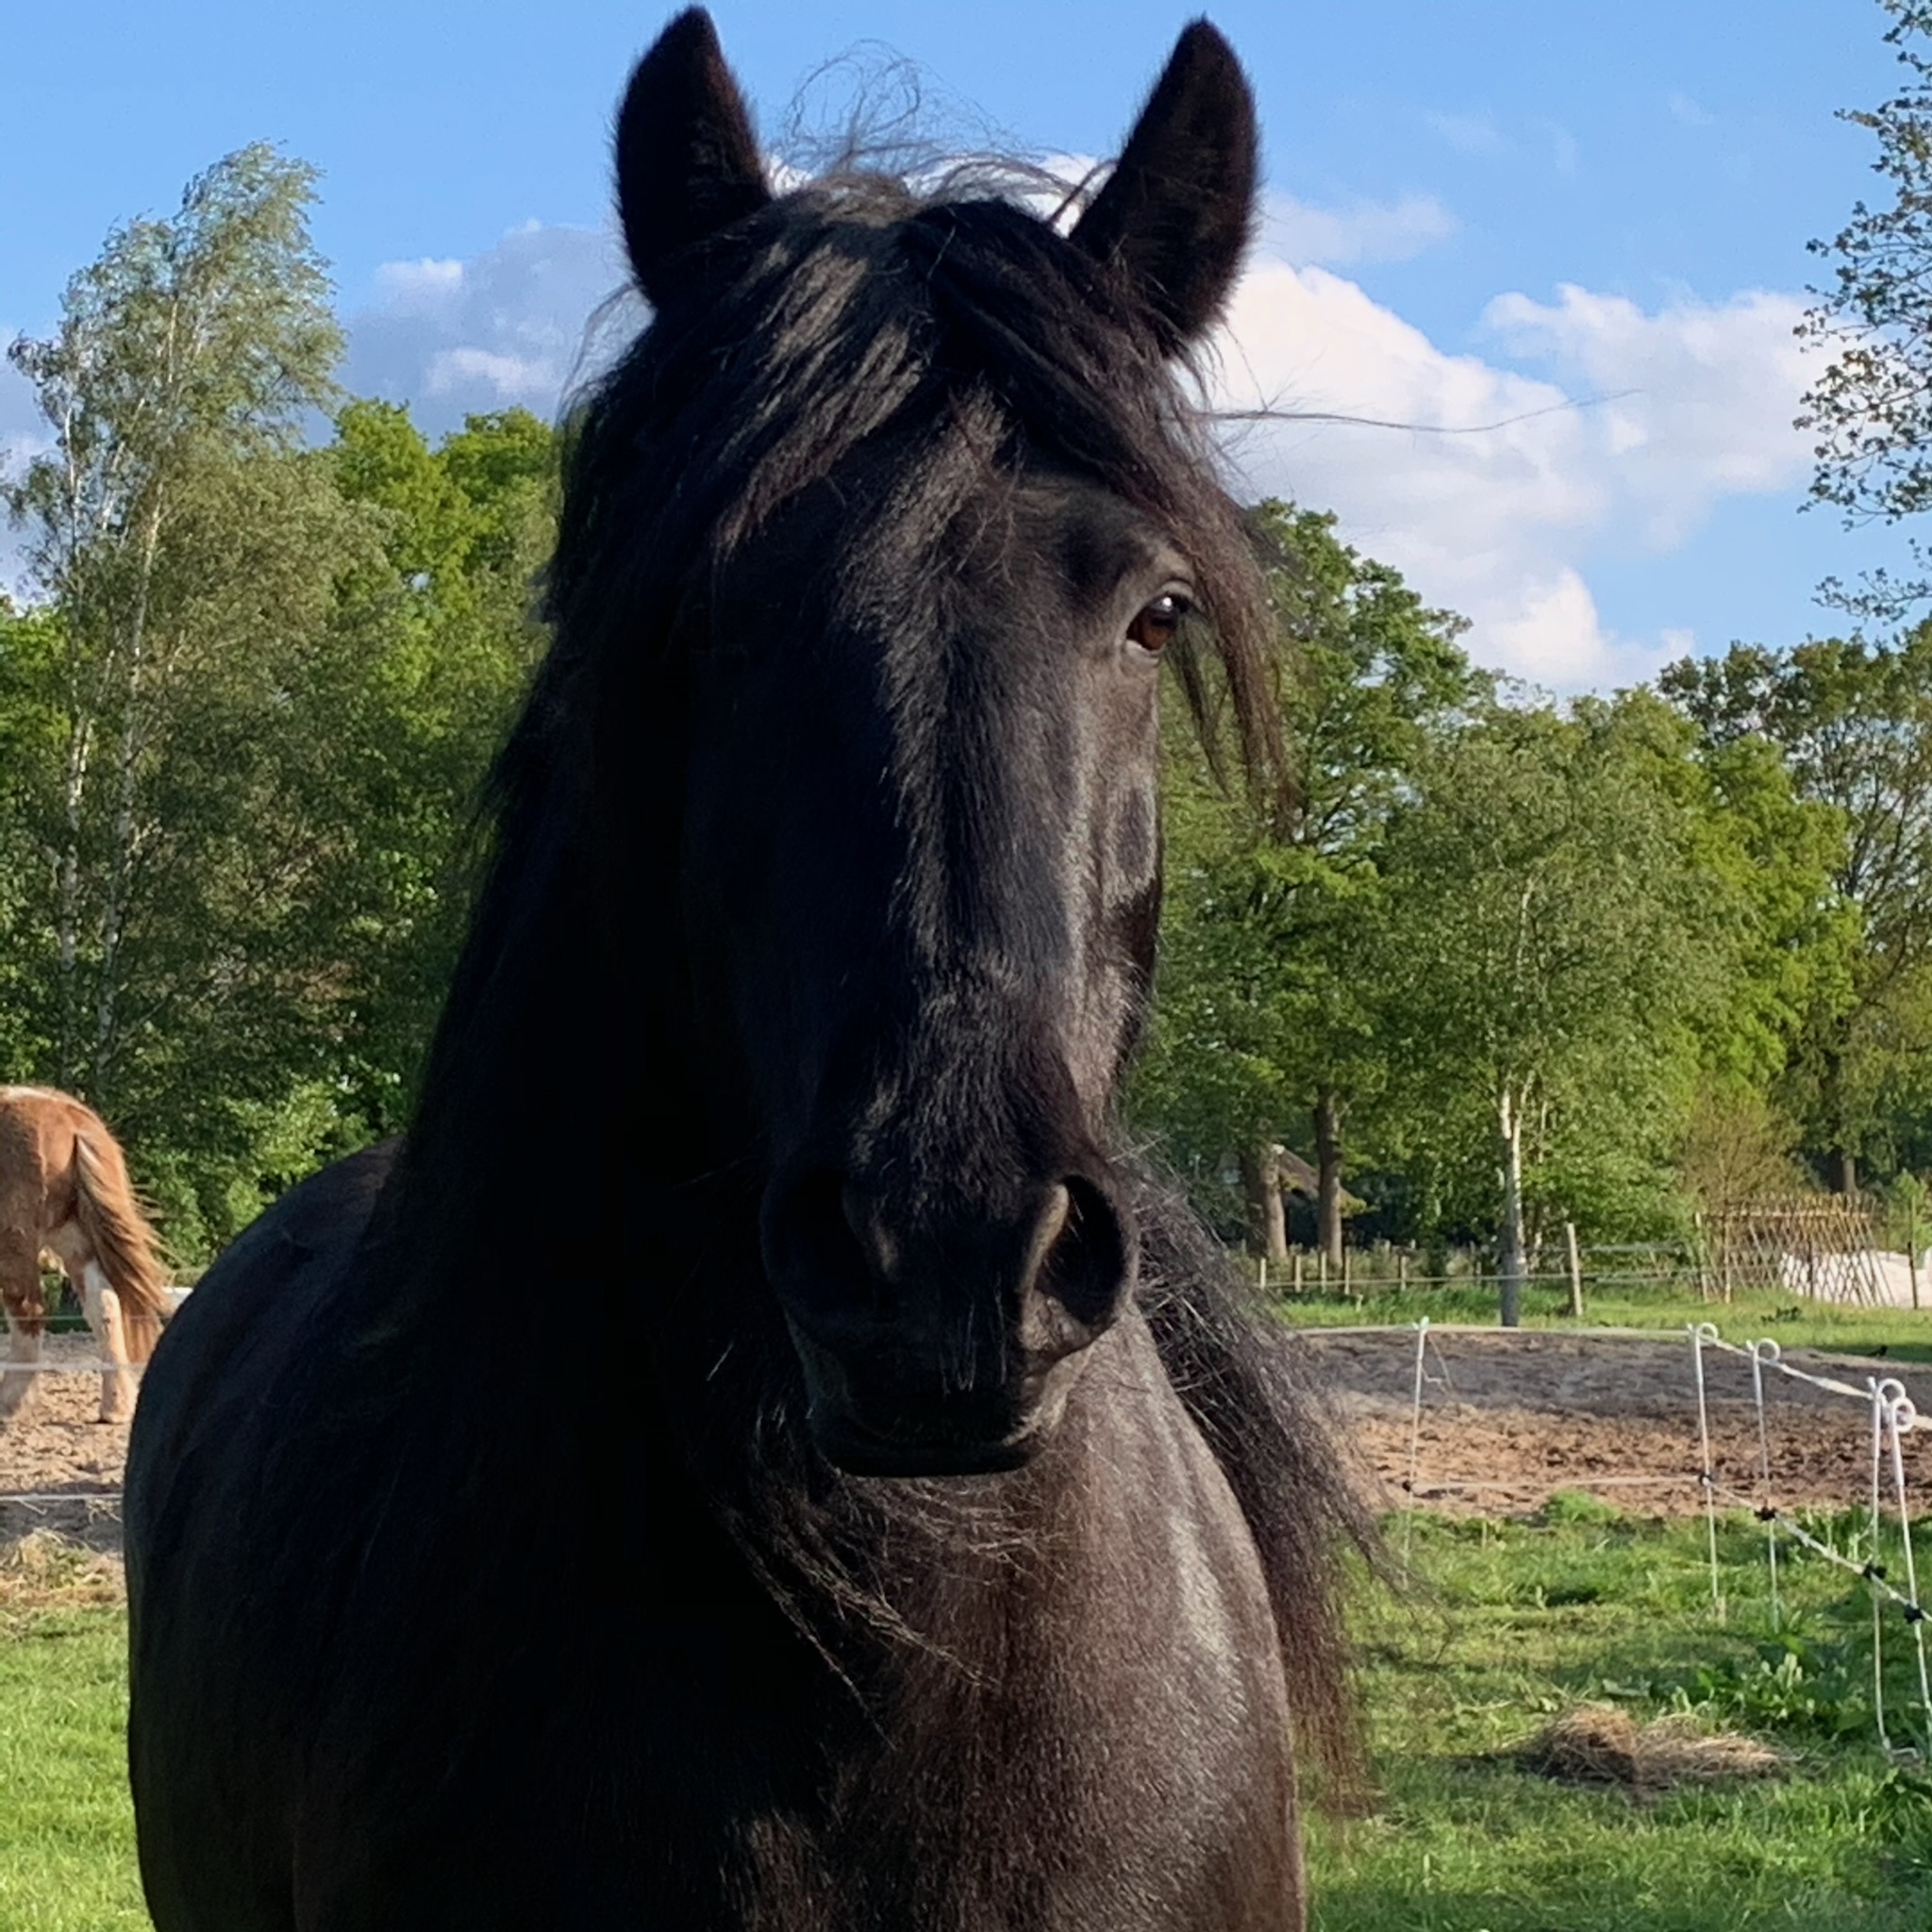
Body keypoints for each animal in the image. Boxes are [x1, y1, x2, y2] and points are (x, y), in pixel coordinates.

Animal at [0, 1085, 168, 1426]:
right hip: (74, 1239)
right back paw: (115, 1406)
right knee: (104, 1306)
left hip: (16, 1241)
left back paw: (10, 1403)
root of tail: (69, 1117)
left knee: (29, 1311)